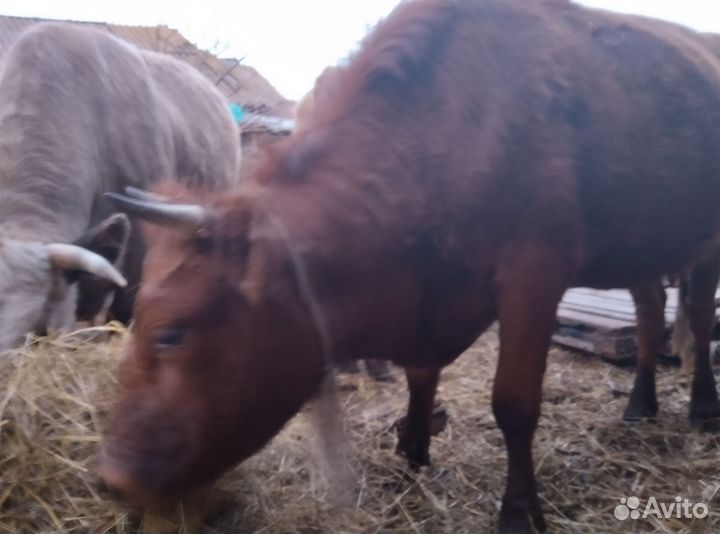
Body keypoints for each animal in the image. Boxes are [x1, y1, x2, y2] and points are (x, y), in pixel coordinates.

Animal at [100, 1, 720, 531]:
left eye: (172, 334)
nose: (111, 481)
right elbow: (421, 375)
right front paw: (414, 447)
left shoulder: (534, 273)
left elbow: (514, 403)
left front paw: (519, 511)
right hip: (643, 244)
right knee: (649, 314)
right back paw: (639, 404)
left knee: (696, 315)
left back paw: (702, 407)